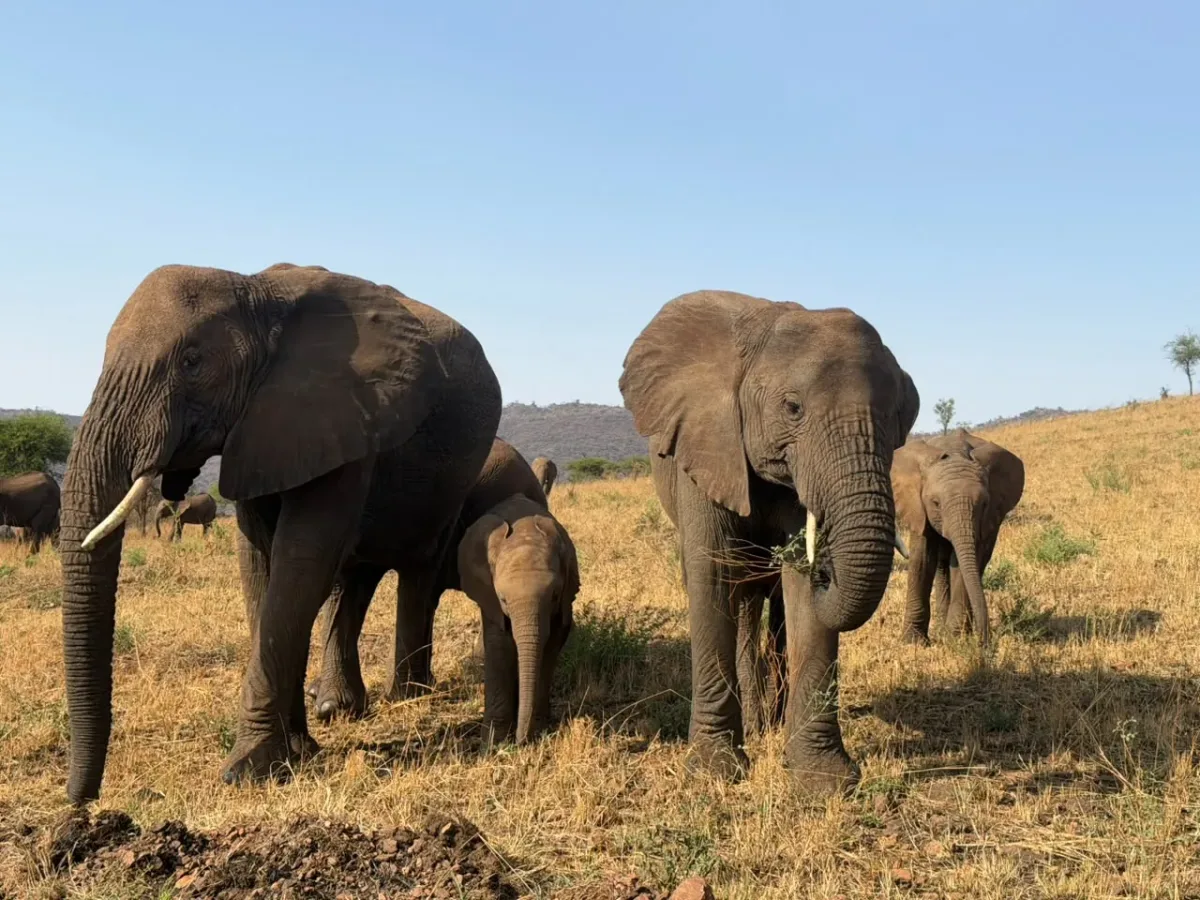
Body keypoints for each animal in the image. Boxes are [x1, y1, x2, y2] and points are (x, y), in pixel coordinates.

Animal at [60, 262, 501, 804]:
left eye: (192, 361)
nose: (80, 801)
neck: (255, 289)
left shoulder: (341, 410)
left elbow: (299, 561)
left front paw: (249, 769)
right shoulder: (262, 429)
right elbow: (259, 565)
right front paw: (297, 749)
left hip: (454, 477)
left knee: (415, 569)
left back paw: (409, 695)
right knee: (351, 581)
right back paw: (337, 707)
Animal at [458, 493, 579, 744]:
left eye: (554, 595)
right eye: (503, 599)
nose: (521, 741)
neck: (525, 535)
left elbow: (552, 642)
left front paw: (540, 731)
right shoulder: (489, 597)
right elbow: (499, 643)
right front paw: (493, 743)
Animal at [619, 290, 918, 793]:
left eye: (898, 417)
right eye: (792, 407)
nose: (828, 568)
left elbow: (801, 600)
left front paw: (822, 781)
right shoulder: (704, 446)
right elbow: (712, 575)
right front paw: (714, 772)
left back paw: (771, 723)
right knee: (740, 600)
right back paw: (758, 726)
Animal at [891, 429, 1024, 647]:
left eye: (984, 504)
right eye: (935, 503)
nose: (985, 643)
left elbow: (964, 564)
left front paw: (955, 638)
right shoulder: (919, 509)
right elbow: (922, 559)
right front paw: (913, 643)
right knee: (942, 565)